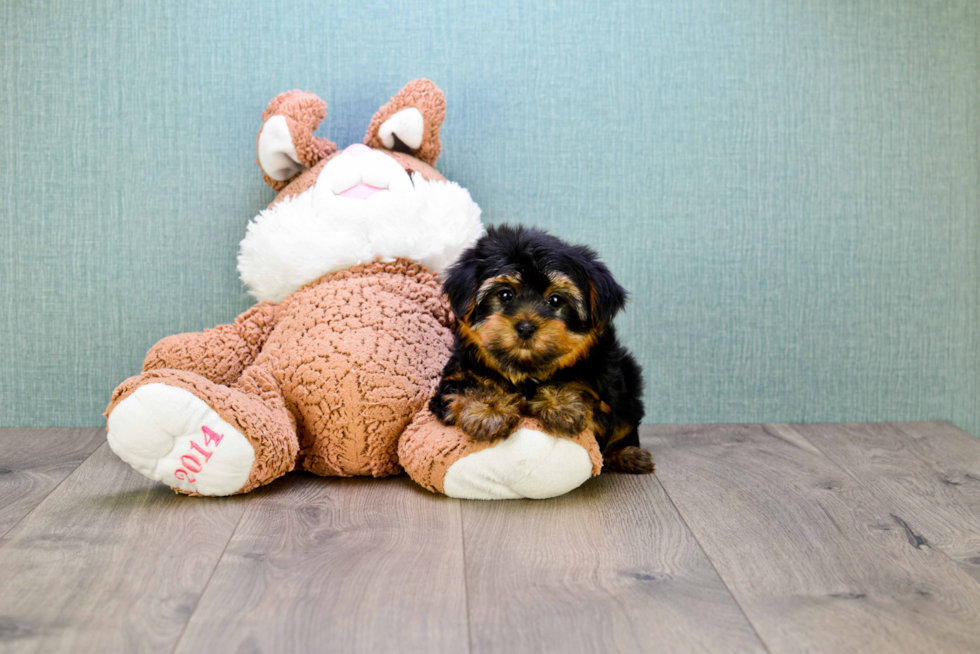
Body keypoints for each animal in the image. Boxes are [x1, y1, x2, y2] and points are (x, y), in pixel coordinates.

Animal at [430, 223, 656, 474]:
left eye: (556, 300)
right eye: (505, 294)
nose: (526, 327)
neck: (527, 369)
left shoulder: (604, 400)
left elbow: (583, 394)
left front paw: (562, 403)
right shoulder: (454, 380)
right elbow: (467, 387)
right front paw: (489, 409)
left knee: (623, 429)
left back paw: (629, 455)